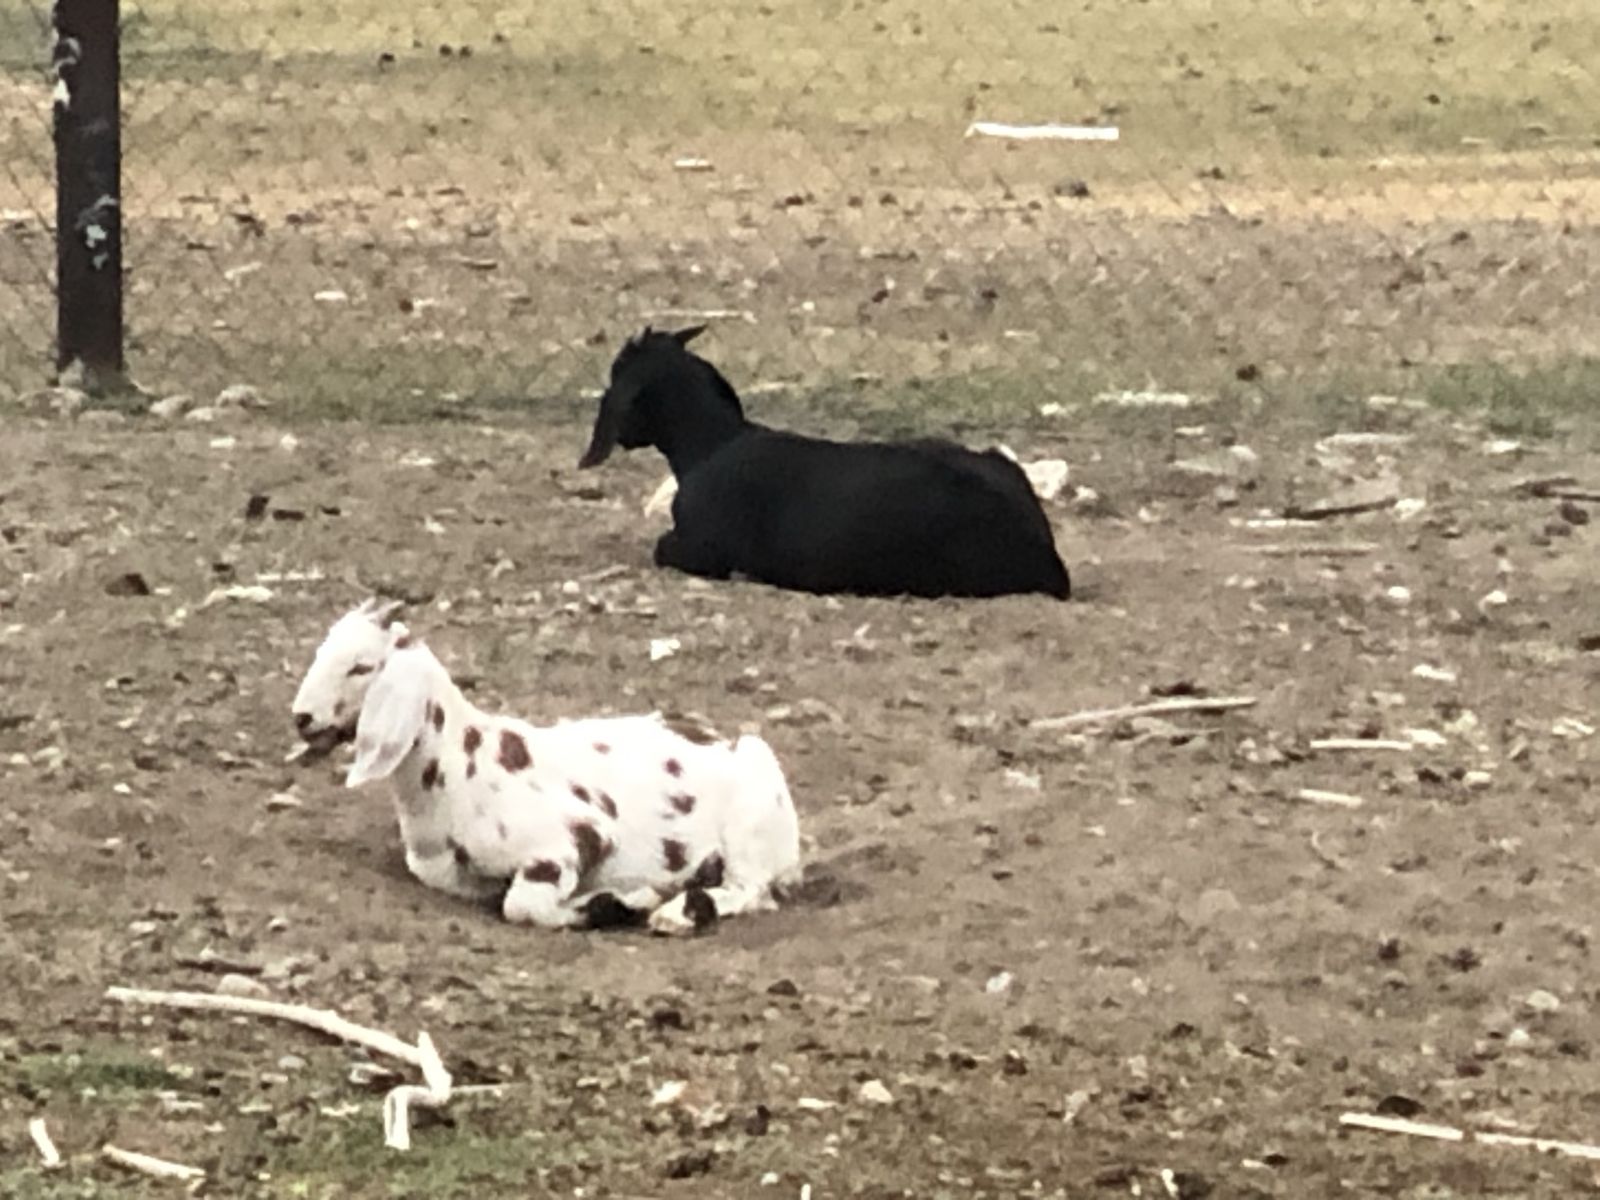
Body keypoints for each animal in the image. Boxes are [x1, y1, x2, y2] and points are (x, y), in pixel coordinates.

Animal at [289, 599, 802, 935]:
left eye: (361, 666)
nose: (302, 717)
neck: (463, 768)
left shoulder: (573, 838)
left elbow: (522, 906)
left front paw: (614, 905)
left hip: (750, 825)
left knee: (749, 890)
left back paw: (678, 912)